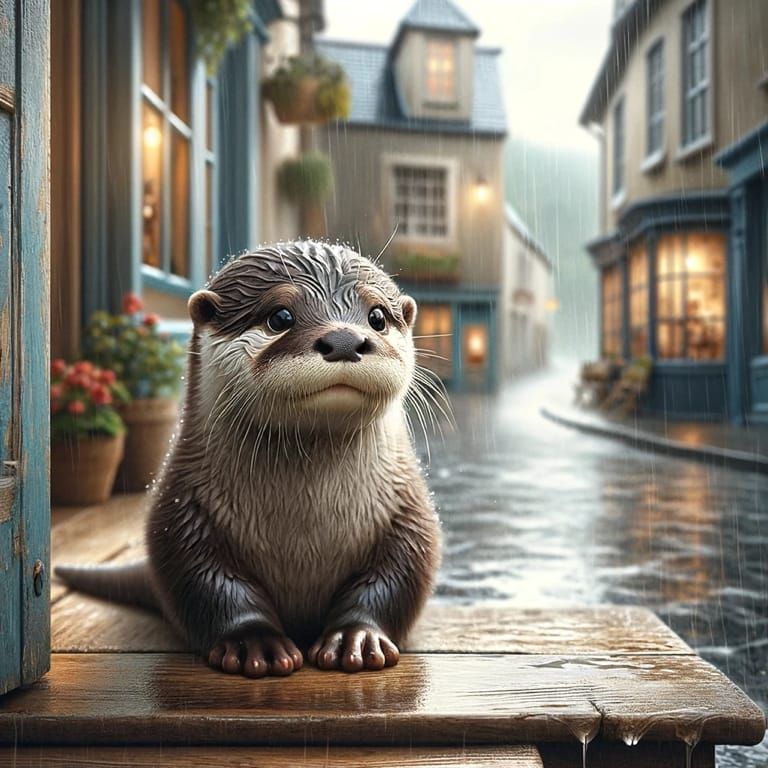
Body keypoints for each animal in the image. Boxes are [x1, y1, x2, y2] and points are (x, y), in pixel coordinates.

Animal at [56, 240, 441, 677]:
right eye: (280, 317)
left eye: (377, 316)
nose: (344, 339)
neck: (305, 527)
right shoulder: (183, 510)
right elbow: (207, 579)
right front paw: (253, 643)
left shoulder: (406, 512)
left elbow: (399, 574)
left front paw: (356, 638)